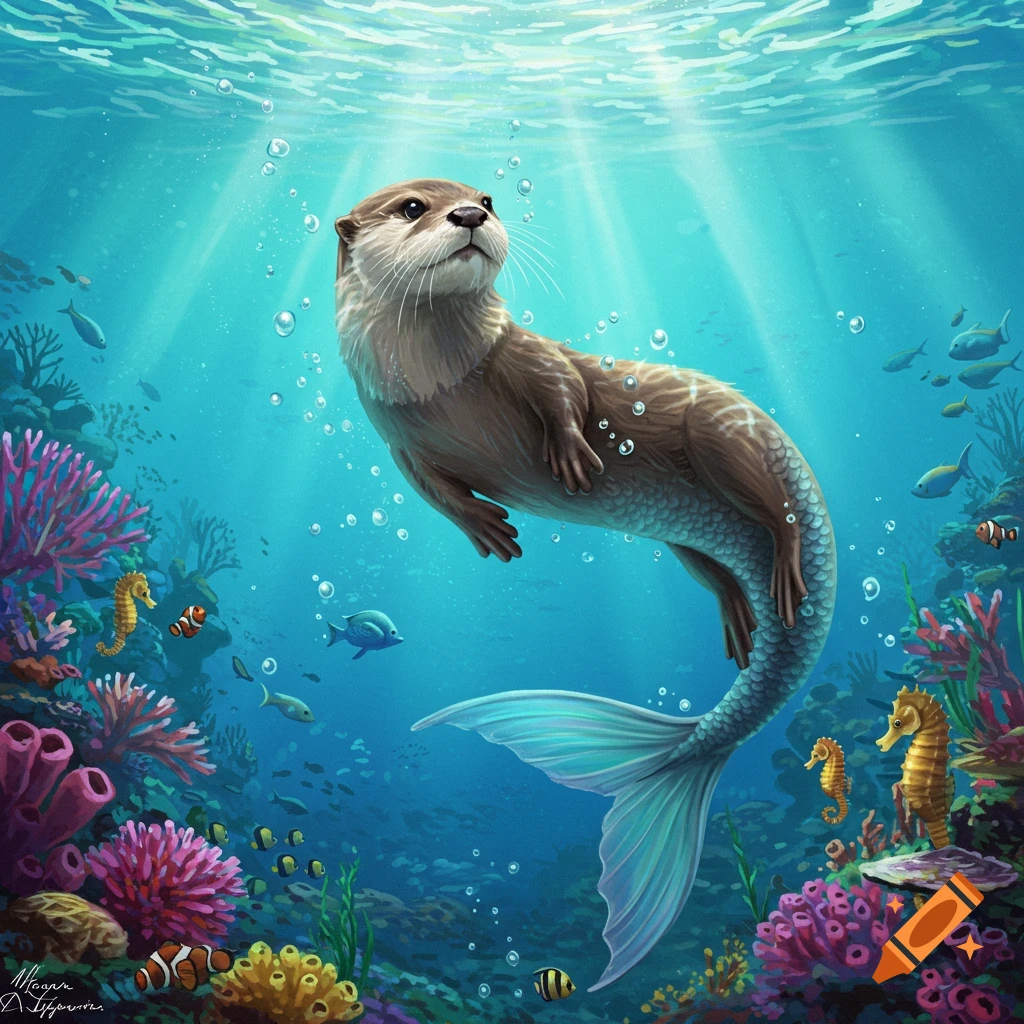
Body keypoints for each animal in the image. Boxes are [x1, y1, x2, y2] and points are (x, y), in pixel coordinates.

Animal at [334, 178, 836, 990]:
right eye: (412, 206)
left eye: (486, 196)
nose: (470, 215)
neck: (436, 378)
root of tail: (690, 750)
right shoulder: (395, 436)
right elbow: (435, 494)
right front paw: (488, 529)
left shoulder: (529, 356)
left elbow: (565, 391)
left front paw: (572, 457)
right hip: (685, 533)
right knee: (712, 566)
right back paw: (739, 615)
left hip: (725, 439)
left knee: (773, 507)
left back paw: (787, 568)